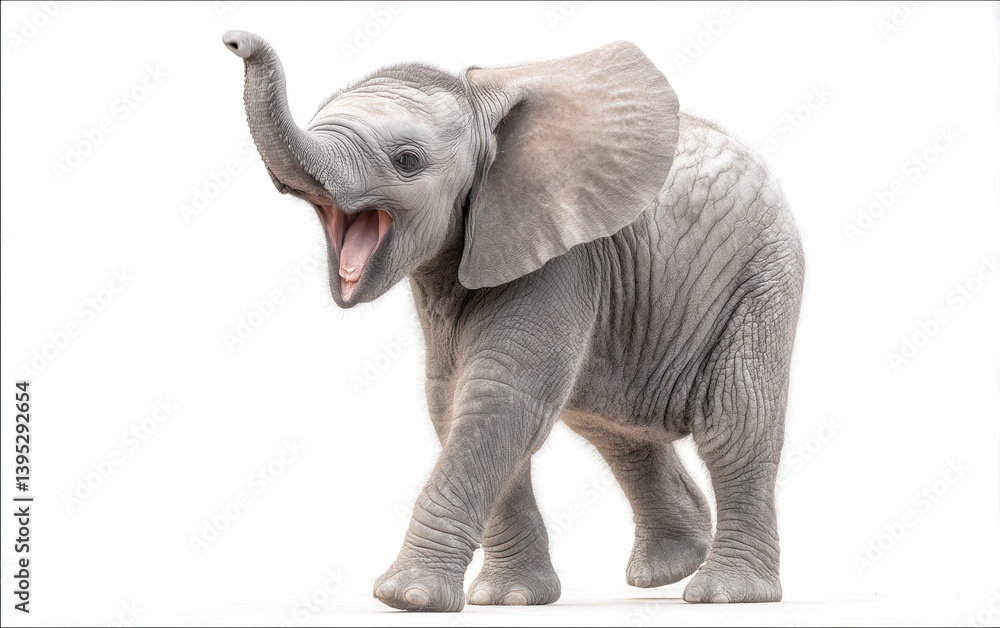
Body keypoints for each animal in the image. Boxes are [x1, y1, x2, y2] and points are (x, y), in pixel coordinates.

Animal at [223, 31, 804, 612]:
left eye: (407, 160)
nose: (235, 40)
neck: (483, 116)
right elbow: (454, 402)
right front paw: (510, 598)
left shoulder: (563, 257)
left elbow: (500, 396)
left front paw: (406, 597)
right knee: (614, 429)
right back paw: (668, 570)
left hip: (763, 276)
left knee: (735, 420)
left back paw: (725, 593)